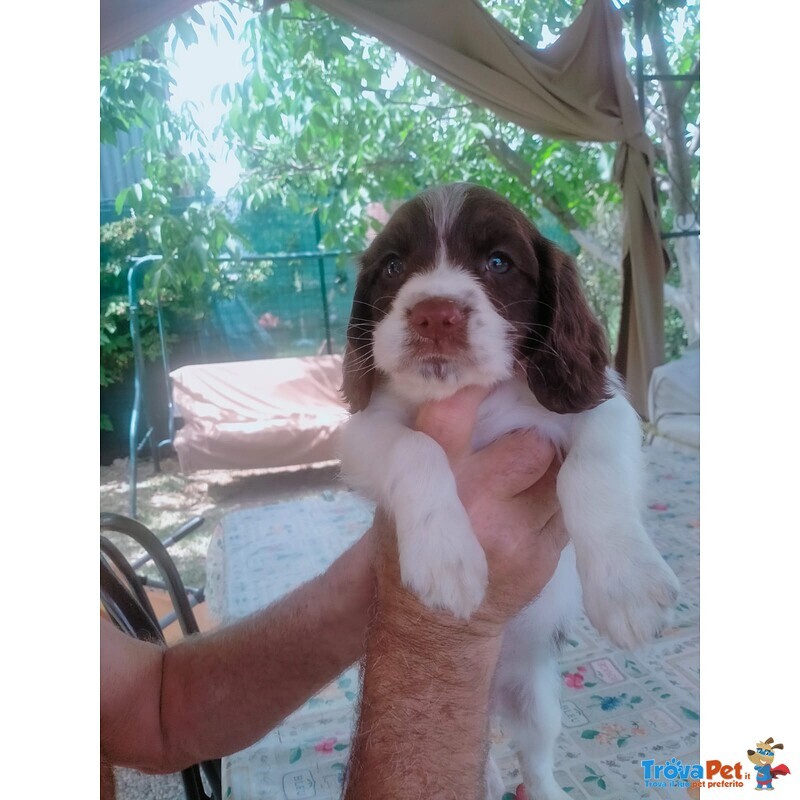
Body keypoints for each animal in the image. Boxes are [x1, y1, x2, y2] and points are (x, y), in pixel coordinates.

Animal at [340, 183, 680, 800]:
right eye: (393, 267)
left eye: (498, 262)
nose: (435, 314)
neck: (478, 396)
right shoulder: (363, 430)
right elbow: (416, 449)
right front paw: (446, 560)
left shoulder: (607, 409)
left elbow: (590, 470)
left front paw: (628, 588)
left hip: (538, 697)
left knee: (535, 756)